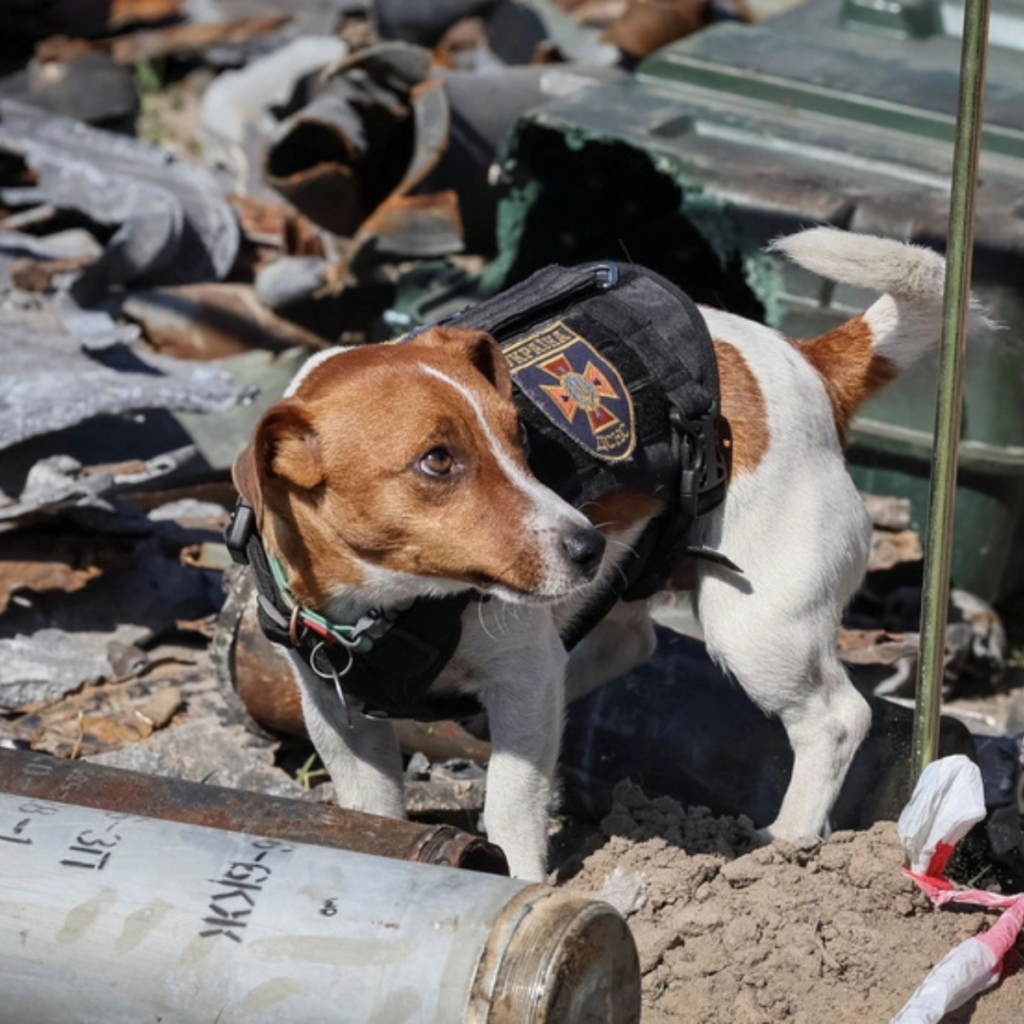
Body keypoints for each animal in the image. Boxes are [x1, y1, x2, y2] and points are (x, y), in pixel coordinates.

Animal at [232, 230, 966, 880]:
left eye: (520, 441)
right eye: (437, 461)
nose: (586, 544)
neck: (388, 603)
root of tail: (808, 363)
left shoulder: (522, 675)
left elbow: (511, 805)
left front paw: (515, 884)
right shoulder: (339, 719)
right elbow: (372, 809)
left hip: (759, 626)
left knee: (837, 719)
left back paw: (786, 842)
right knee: (626, 644)